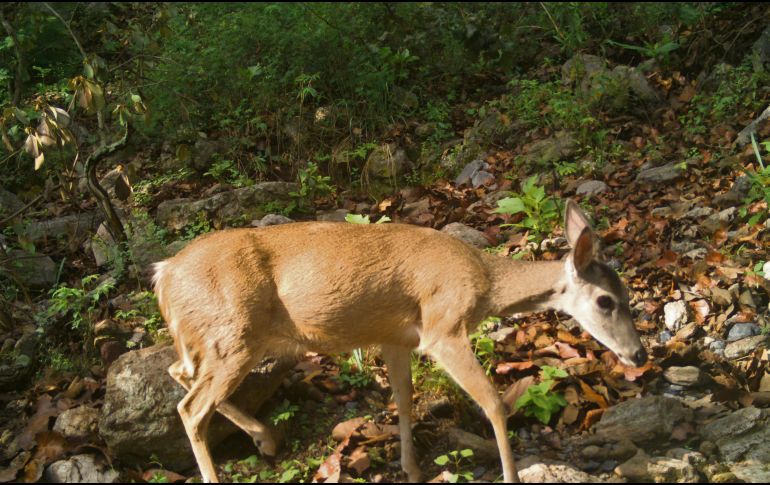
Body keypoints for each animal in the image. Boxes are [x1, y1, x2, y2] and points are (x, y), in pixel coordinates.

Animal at [150, 199, 640, 480]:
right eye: (606, 301)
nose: (638, 353)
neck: (484, 282)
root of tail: (163, 275)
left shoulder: (396, 336)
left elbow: (404, 399)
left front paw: (411, 468)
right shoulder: (443, 326)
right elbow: (494, 403)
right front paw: (511, 476)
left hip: (213, 340)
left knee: (178, 371)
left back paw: (265, 438)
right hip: (233, 335)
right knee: (191, 409)